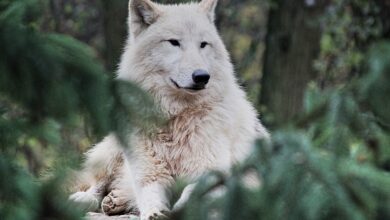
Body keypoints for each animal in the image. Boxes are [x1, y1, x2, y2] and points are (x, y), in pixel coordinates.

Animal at [68, 0, 270, 218]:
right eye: (174, 42)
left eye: (203, 44)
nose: (202, 76)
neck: (175, 118)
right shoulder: (150, 173)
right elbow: (149, 195)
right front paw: (155, 213)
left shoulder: (212, 172)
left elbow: (192, 192)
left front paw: (180, 209)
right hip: (115, 149)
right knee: (98, 185)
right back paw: (88, 200)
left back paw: (116, 201)